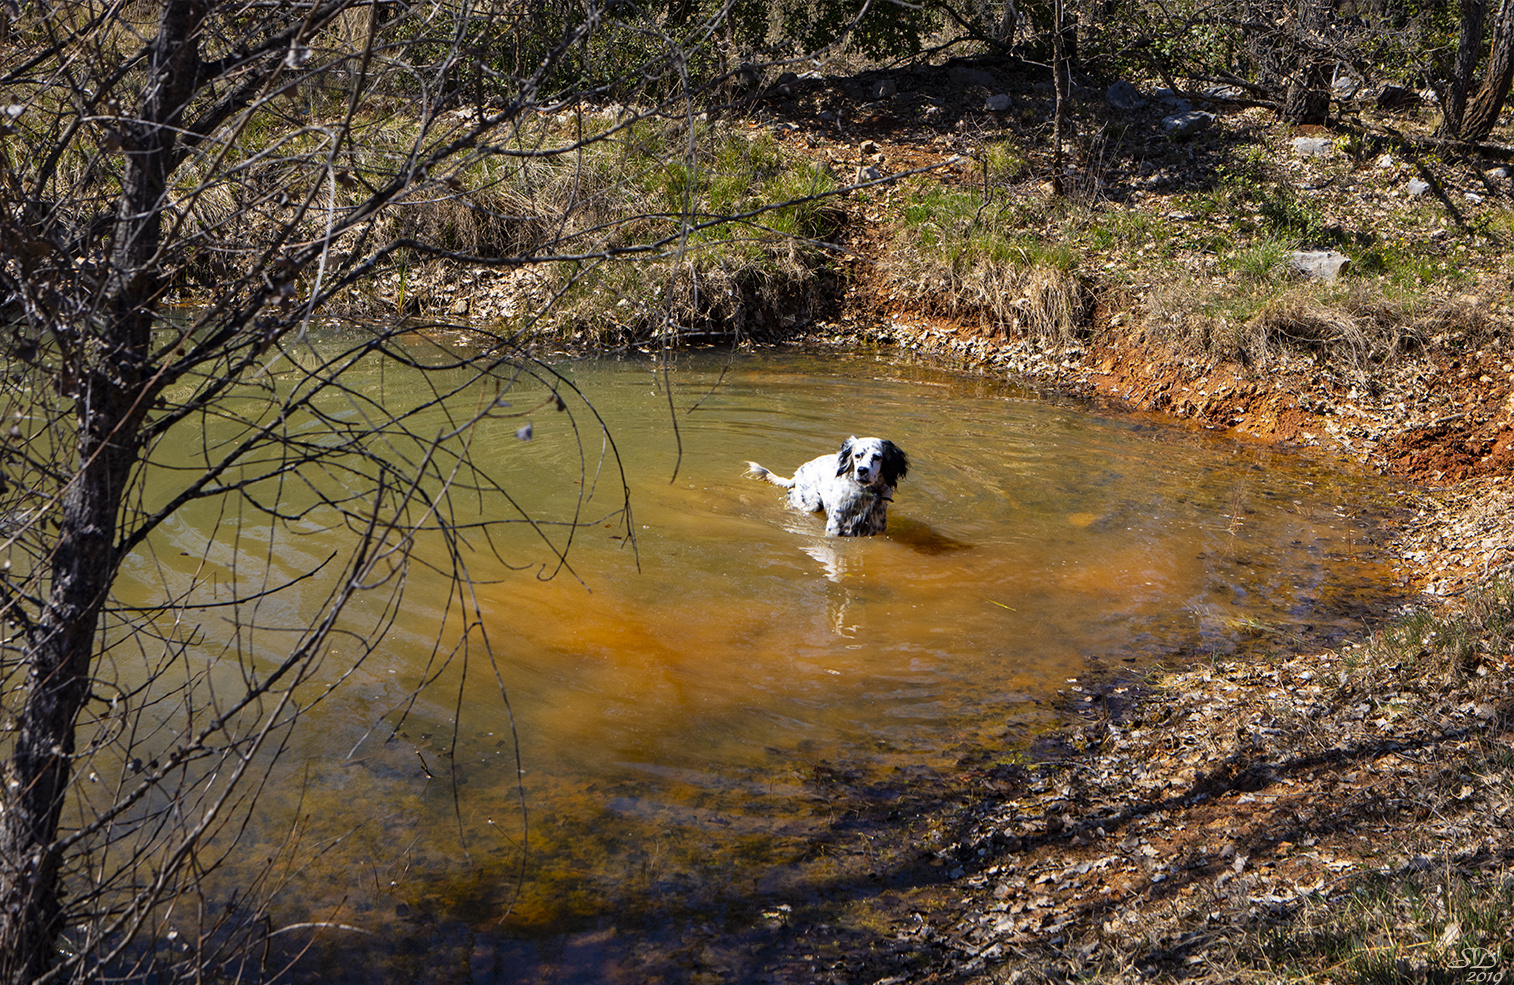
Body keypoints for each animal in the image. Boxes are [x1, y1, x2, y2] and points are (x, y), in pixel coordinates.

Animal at [741, 435, 902, 535]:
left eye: (877, 457)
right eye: (857, 455)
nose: (862, 470)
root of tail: (802, 468)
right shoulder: (834, 531)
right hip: (812, 503)